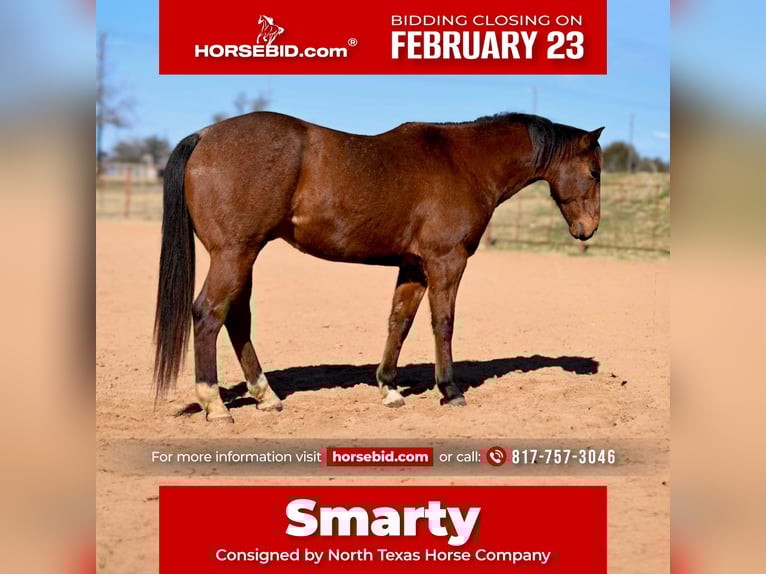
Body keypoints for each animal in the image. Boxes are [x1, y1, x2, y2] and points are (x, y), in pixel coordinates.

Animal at [153, 111, 603, 422]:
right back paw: (215, 404)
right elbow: (443, 323)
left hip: (243, 255)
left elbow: (399, 321)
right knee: (209, 314)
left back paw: (267, 396)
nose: (589, 228)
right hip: (233, 254)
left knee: (237, 318)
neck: (463, 162)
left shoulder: (414, 266)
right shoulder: (446, 261)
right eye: (595, 171)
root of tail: (203, 136)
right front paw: (450, 390)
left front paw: (389, 388)